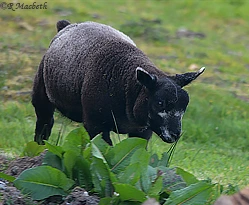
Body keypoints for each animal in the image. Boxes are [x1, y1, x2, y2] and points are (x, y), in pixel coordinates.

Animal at [32, 20, 205, 145]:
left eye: (184, 107)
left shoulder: (142, 132)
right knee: (45, 122)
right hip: (42, 91)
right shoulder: (95, 125)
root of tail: (68, 25)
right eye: (160, 103)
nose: (176, 135)